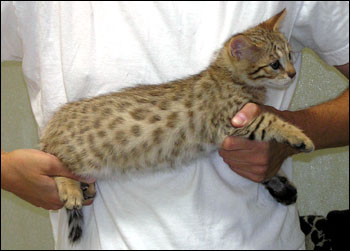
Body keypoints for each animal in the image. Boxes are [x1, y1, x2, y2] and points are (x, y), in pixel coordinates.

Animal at [41, 9, 314, 243]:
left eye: (290, 55)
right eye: (274, 64)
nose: (292, 74)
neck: (227, 76)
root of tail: (53, 122)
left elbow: (266, 169)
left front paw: (280, 185)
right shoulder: (230, 121)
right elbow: (270, 120)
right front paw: (299, 136)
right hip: (74, 153)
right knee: (56, 164)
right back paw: (71, 190)